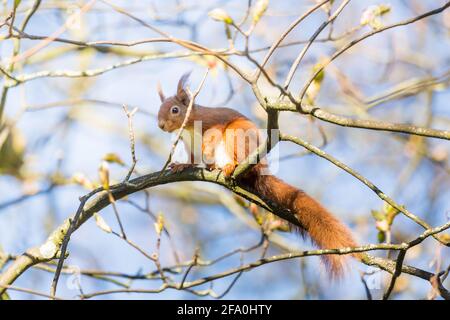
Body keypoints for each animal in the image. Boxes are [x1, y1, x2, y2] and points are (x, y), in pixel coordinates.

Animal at [158, 73, 358, 278]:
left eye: (175, 110)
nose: (161, 125)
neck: (188, 128)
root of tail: (259, 168)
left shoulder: (212, 122)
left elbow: (212, 138)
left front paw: (206, 152)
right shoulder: (189, 144)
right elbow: (192, 158)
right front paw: (182, 164)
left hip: (237, 135)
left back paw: (229, 166)